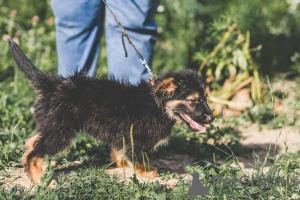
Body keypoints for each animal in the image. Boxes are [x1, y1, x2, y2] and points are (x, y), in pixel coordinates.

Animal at [8, 39, 214, 184]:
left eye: (205, 97)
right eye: (194, 100)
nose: (212, 118)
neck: (158, 105)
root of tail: (52, 85)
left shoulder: (123, 134)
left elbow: (120, 150)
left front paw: (121, 163)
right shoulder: (135, 138)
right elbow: (138, 157)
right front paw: (145, 171)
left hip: (54, 125)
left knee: (32, 143)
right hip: (62, 130)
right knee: (32, 154)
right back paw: (41, 182)